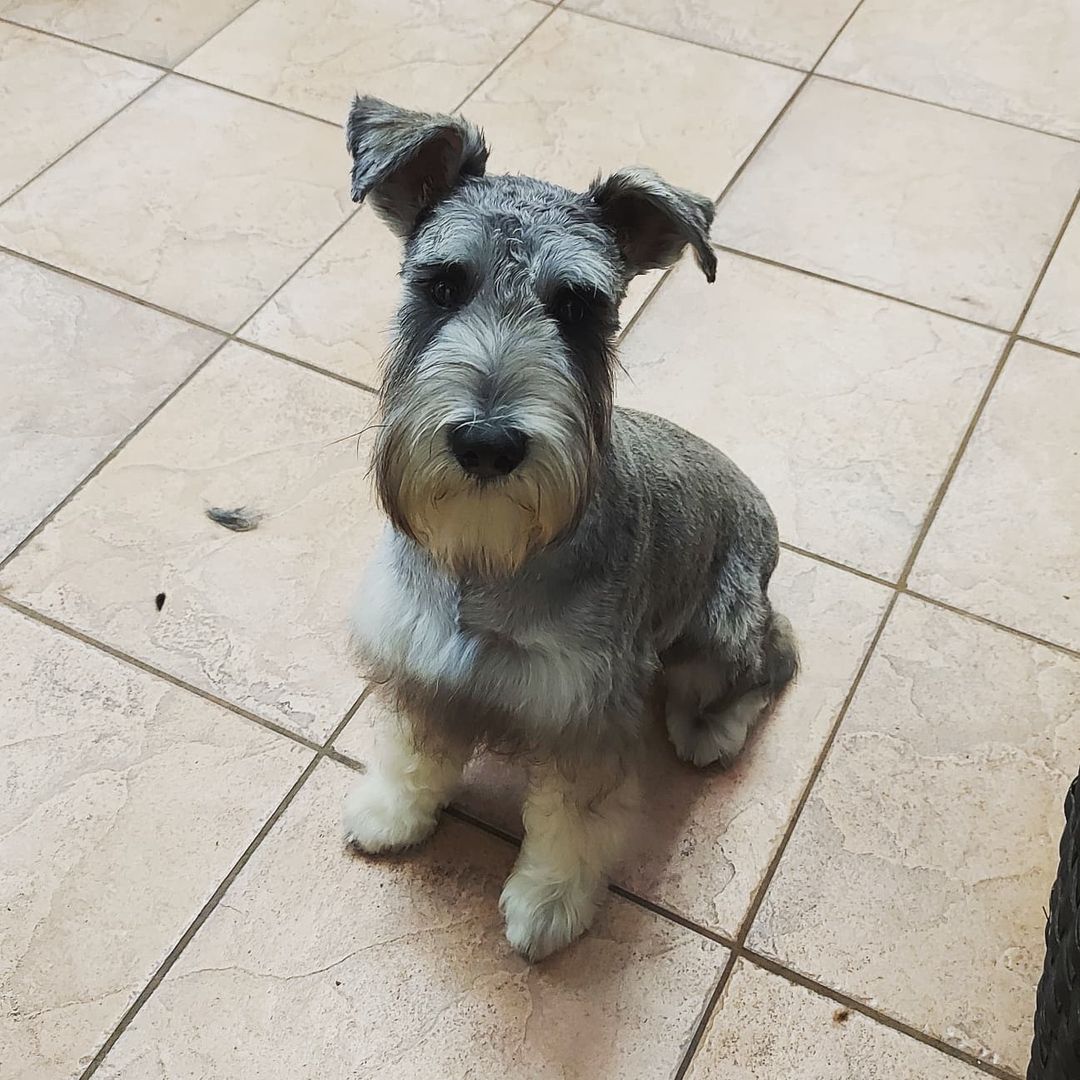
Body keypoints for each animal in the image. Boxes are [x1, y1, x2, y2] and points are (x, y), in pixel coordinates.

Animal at [341, 97, 799, 963]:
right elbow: (417, 751)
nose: (487, 443)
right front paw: (392, 812)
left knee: (774, 657)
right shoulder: (421, 664)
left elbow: (571, 822)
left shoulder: (585, 712)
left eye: (580, 306)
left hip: (718, 631)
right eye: (442, 284)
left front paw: (547, 904)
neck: (490, 558)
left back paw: (711, 726)